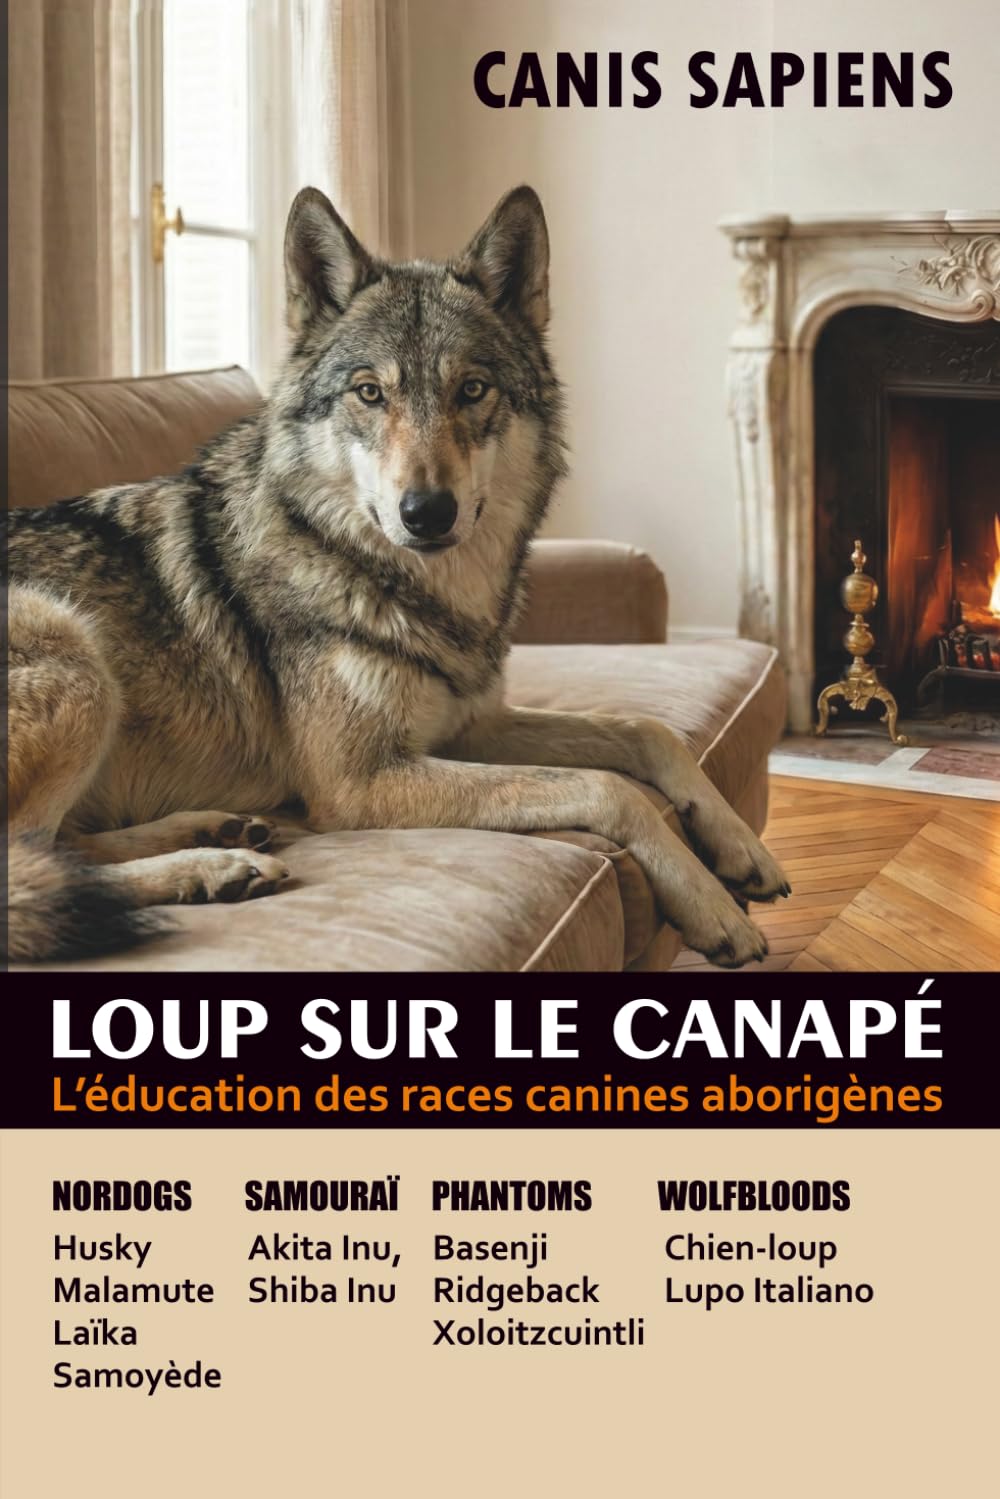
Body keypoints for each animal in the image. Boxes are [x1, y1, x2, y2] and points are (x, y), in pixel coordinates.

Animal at [5, 185, 789, 966]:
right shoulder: (363, 781)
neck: (408, 591)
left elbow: (645, 731)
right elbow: (607, 788)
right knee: (29, 867)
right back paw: (213, 867)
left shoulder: (472, 727)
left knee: (62, 857)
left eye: (471, 389)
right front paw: (711, 907)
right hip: (72, 651)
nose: (427, 512)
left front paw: (742, 849)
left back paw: (214, 832)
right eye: (369, 393)